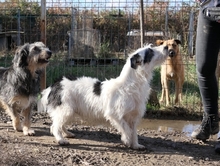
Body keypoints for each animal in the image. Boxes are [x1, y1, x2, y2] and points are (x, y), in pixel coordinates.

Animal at [37, 43, 168, 149]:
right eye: (150, 51)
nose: (167, 47)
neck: (131, 84)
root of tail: (56, 84)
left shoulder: (133, 117)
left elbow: (134, 132)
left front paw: (135, 145)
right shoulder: (115, 115)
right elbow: (126, 129)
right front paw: (126, 140)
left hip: (69, 111)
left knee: (60, 124)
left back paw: (67, 133)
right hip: (66, 110)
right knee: (54, 126)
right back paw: (61, 140)